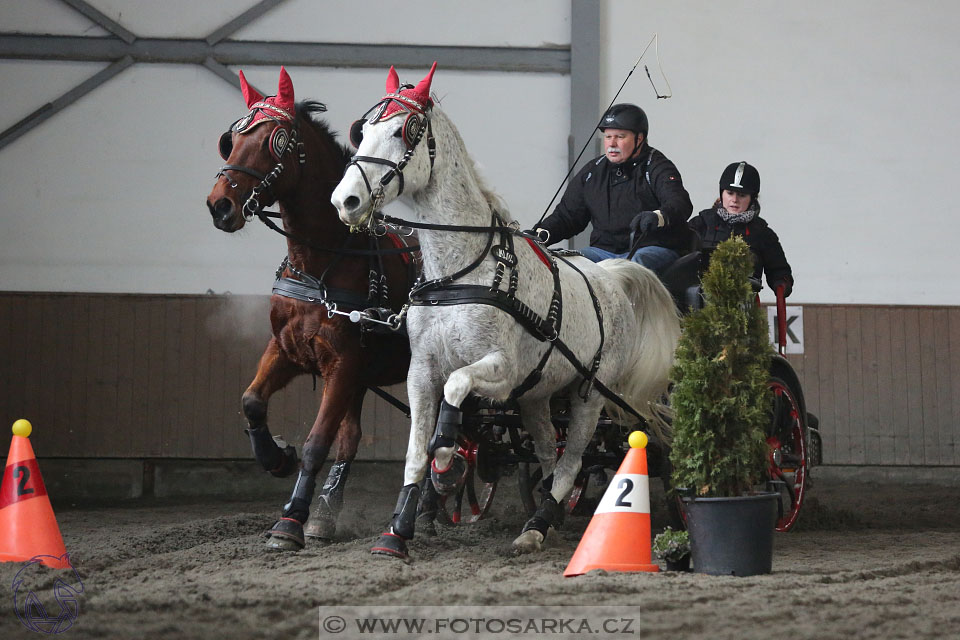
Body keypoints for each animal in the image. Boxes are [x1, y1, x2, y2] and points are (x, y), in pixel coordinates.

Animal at [206, 69, 416, 552]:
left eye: (276, 142)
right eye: (231, 140)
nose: (219, 205)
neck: (322, 264)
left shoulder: (343, 363)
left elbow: (319, 440)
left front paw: (290, 520)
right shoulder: (288, 349)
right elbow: (251, 401)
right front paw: (278, 458)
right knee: (355, 436)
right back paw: (329, 511)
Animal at [334, 62, 680, 556]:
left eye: (405, 130)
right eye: (362, 131)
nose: (345, 201)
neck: (459, 273)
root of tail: (611, 276)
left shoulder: (500, 369)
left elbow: (455, 394)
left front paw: (449, 465)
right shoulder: (421, 371)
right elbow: (416, 452)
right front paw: (397, 530)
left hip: (590, 393)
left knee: (573, 459)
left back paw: (536, 526)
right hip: (538, 395)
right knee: (547, 452)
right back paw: (545, 518)